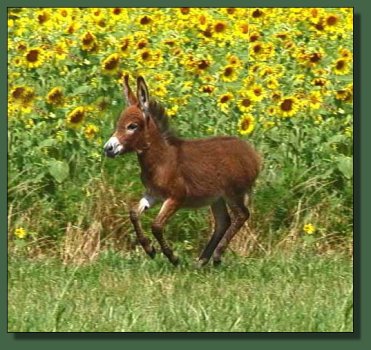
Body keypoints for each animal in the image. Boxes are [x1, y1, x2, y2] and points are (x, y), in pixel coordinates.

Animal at [103, 74, 264, 266]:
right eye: (118, 124)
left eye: (132, 126)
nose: (108, 148)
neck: (163, 159)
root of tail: (252, 153)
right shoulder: (153, 194)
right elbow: (134, 214)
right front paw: (149, 249)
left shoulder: (177, 197)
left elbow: (156, 225)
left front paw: (172, 257)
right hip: (217, 197)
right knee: (223, 222)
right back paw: (202, 261)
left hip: (233, 193)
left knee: (242, 215)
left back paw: (216, 256)